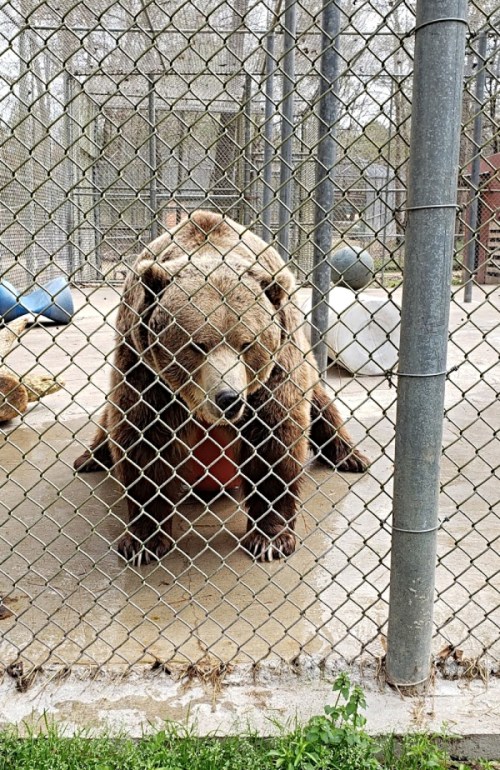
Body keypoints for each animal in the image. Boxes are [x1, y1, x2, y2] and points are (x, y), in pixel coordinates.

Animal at [74, 211, 368, 566]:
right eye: (197, 345)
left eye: (247, 343)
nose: (228, 398)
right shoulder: (145, 368)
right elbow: (144, 440)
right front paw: (143, 541)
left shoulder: (274, 372)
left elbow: (275, 438)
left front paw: (269, 539)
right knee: (108, 420)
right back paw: (91, 457)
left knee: (321, 405)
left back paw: (351, 457)